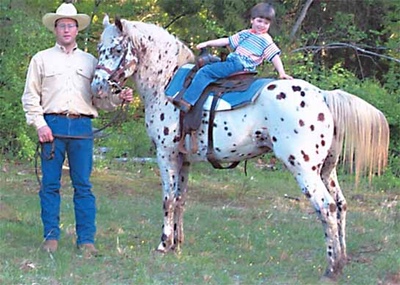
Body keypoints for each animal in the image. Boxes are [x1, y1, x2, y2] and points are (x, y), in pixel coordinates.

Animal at [90, 15, 388, 280]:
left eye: (116, 49)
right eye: (100, 49)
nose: (97, 87)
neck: (166, 84)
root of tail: (323, 96)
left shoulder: (166, 155)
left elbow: (168, 199)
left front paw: (164, 244)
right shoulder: (184, 160)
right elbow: (181, 199)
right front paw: (177, 243)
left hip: (304, 169)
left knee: (325, 207)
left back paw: (331, 268)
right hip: (326, 170)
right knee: (340, 205)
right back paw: (343, 259)